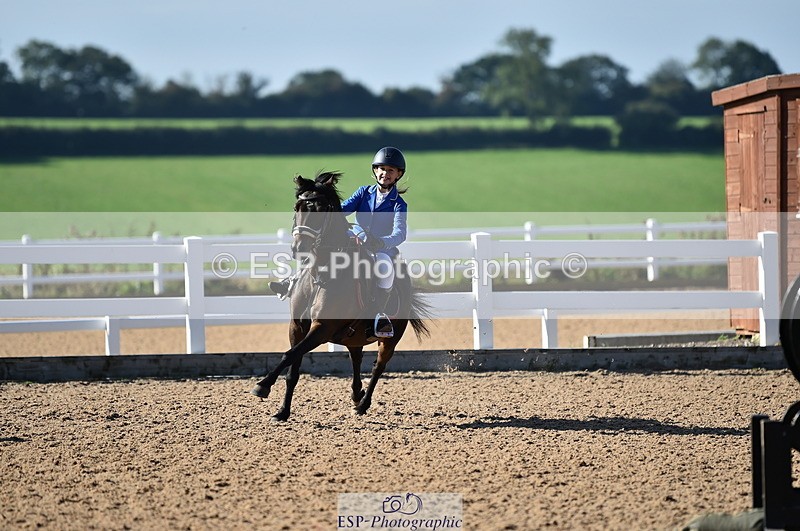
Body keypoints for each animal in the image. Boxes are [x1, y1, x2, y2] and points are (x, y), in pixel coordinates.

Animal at [251, 171, 431, 420]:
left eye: (320, 209)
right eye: (297, 207)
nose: (299, 248)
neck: (321, 273)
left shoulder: (322, 328)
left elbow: (288, 355)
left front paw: (262, 386)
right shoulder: (297, 326)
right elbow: (292, 368)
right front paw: (283, 411)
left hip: (389, 339)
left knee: (378, 366)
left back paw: (363, 404)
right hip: (353, 336)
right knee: (356, 357)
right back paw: (356, 395)